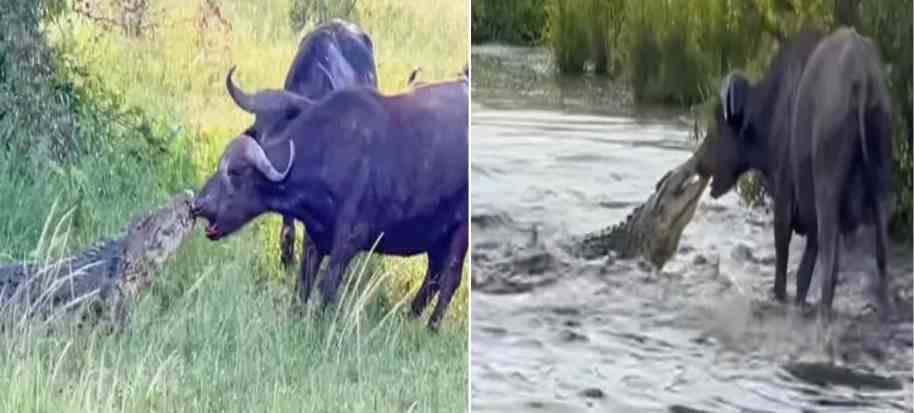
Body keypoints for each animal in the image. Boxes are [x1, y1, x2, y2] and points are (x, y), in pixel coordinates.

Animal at [192, 69, 468, 330]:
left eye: (236, 172)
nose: (198, 205)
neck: (330, 153)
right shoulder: (313, 238)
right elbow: (303, 285)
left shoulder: (349, 242)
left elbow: (327, 288)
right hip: (436, 236)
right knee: (434, 275)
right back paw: (409, 316)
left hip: (460, 232)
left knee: (450, 279)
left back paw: (431, 327)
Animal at [694, 27, 895, 321]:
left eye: (719, 124)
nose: (699, 163)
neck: (774, 106)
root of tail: (861, 77)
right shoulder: (810, 221)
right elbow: (803, 275)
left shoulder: (784, 200)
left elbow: (783, 263)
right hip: (880, 187)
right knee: (881, 260)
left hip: (827, 192)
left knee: (830, 265)